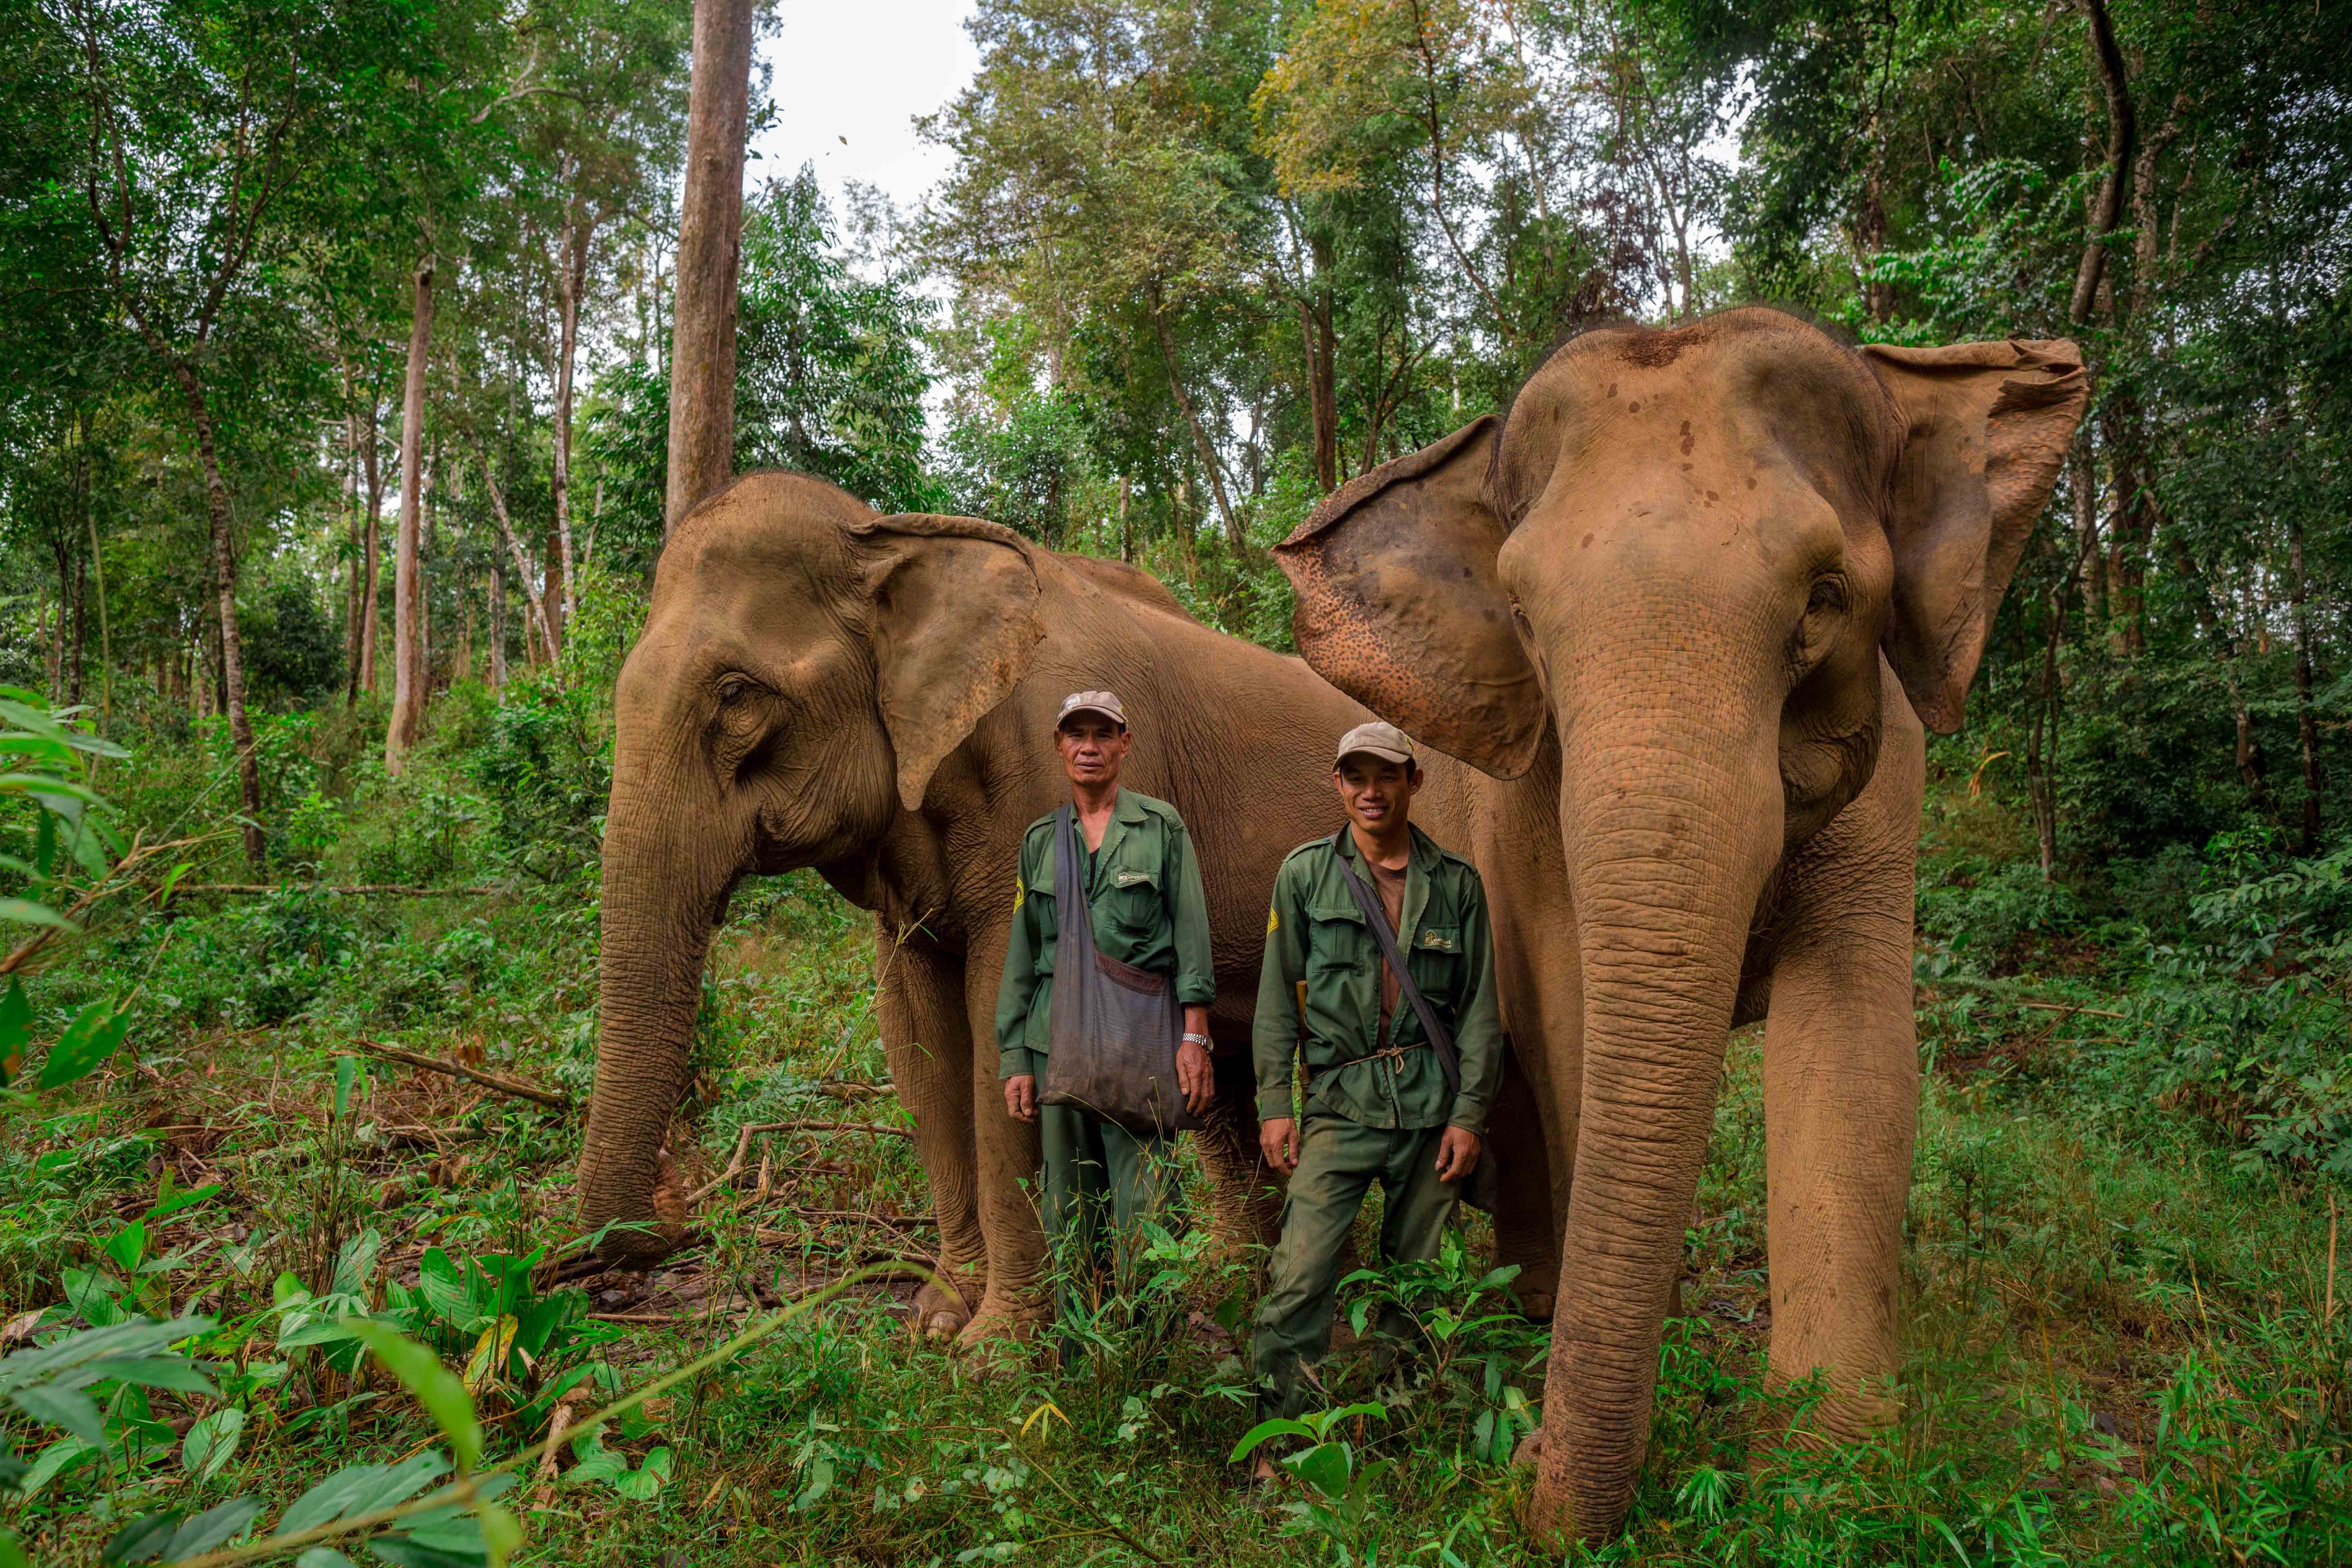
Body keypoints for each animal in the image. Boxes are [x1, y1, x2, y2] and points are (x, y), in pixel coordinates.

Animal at [571, 472, 1505, 1345]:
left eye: (735, 697)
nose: (671, 1195)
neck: (892, 539)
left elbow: (1004, 1028)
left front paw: (999, 1354)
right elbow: (918, 1038)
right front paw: (938, 1319)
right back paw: (1238, 1291)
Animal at [1279, 310, 2088, 1542]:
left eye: (1822, 599)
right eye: (1524, 619)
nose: (1524, 1466)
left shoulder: (1890, 776)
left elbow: (1853, 1049)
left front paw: (1825, 1469)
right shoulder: (1523, 804)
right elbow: (1568, 1023)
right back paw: (1532, 1312)